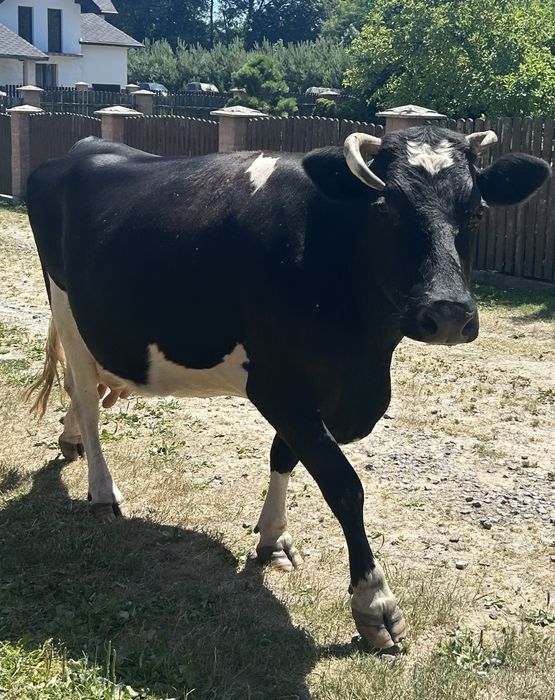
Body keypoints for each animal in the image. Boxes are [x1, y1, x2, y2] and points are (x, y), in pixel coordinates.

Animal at [25, 127, 550, 652]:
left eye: (476, 212)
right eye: (386, 208)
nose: (448, 315)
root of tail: (82, 147)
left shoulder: (324, 393)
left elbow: (284, 456)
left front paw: (273, 540)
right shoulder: (276, 385)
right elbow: (342, 483)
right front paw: (375, 602)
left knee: (85, 393)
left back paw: (70, 439)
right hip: (67, 307)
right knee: (86, 399)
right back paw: (102, 492)